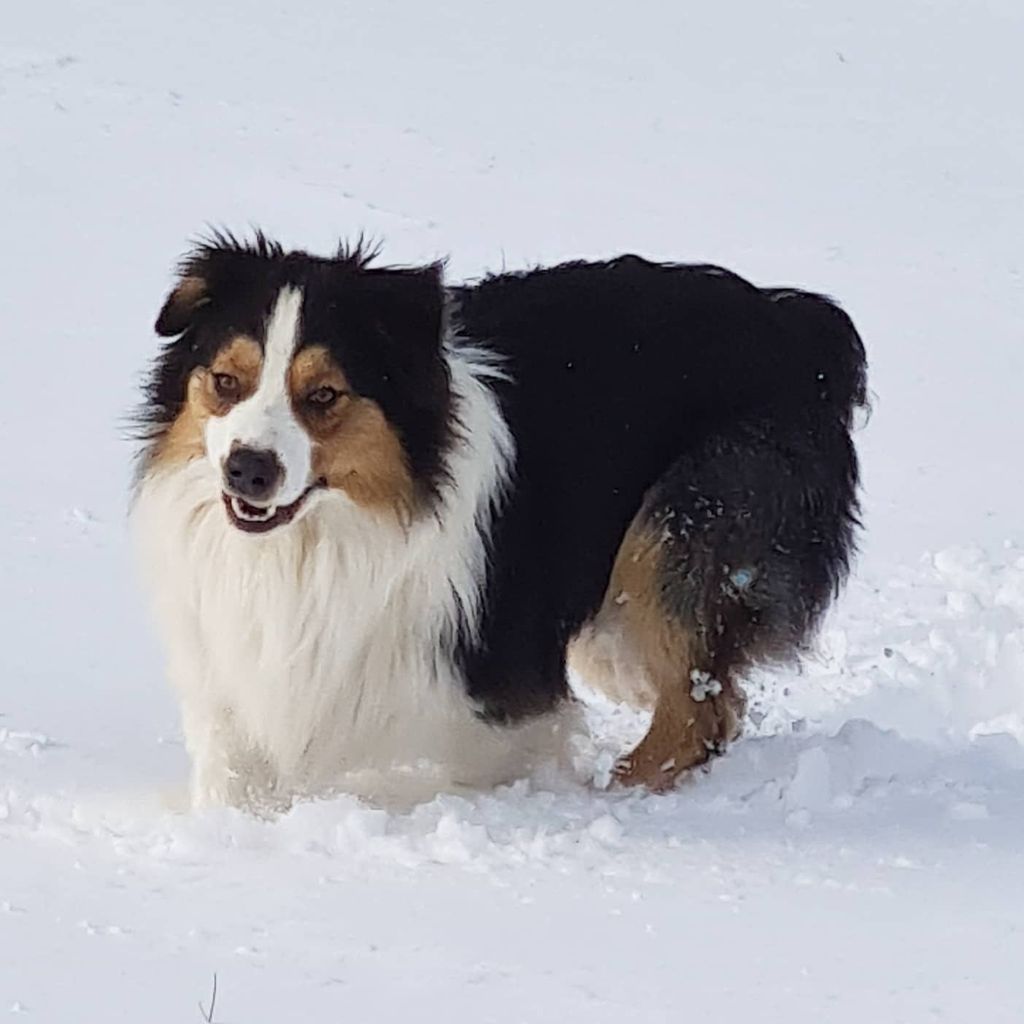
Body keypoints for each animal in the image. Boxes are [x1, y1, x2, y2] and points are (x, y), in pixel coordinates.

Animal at [130, 235, 864, 811]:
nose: (247, 471)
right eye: (227, 381)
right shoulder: (235, 676)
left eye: (324, 395)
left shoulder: (498, 706)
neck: (313, 544)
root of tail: (804, 328)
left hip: (682, 532)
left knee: (698, 715)